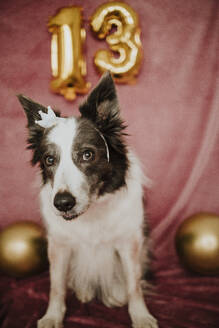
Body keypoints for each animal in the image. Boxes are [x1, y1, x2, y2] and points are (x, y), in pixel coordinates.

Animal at [17, 72, 157, 328]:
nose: (62, 203)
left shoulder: (129, 242)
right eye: (49, 159)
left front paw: (141, 316)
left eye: (87, 154)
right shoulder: (59, 246)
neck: (92, 212)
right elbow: (56, 286)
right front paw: (52, 316)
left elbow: (134, 285)